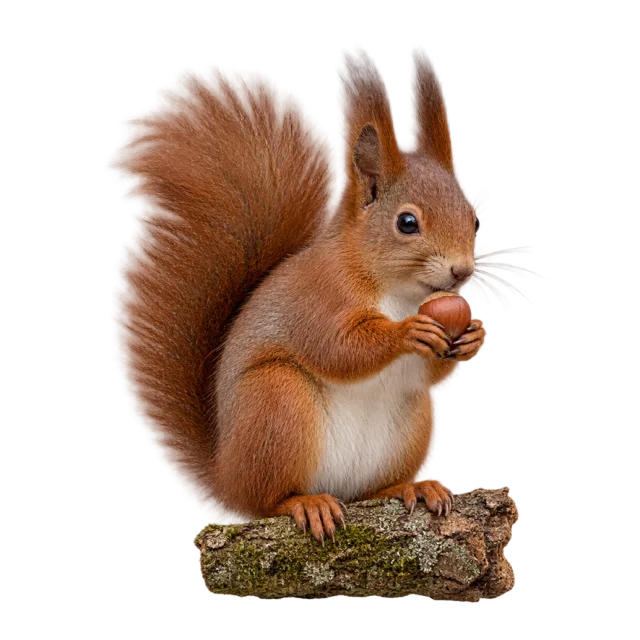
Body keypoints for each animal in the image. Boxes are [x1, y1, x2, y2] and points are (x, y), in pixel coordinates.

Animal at [108, 44, 490, 544]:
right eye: (407, 223)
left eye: (475, 218)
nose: (463, 271)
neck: (398, 292)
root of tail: (226, 468)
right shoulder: (318, 297)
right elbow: (337, 348)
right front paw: (406, 333)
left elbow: (430, 375)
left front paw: (476, 333)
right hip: (278, 402)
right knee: (266, 499)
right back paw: (305, 503)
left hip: (412, 420)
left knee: (369, 489)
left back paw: (411, 487)